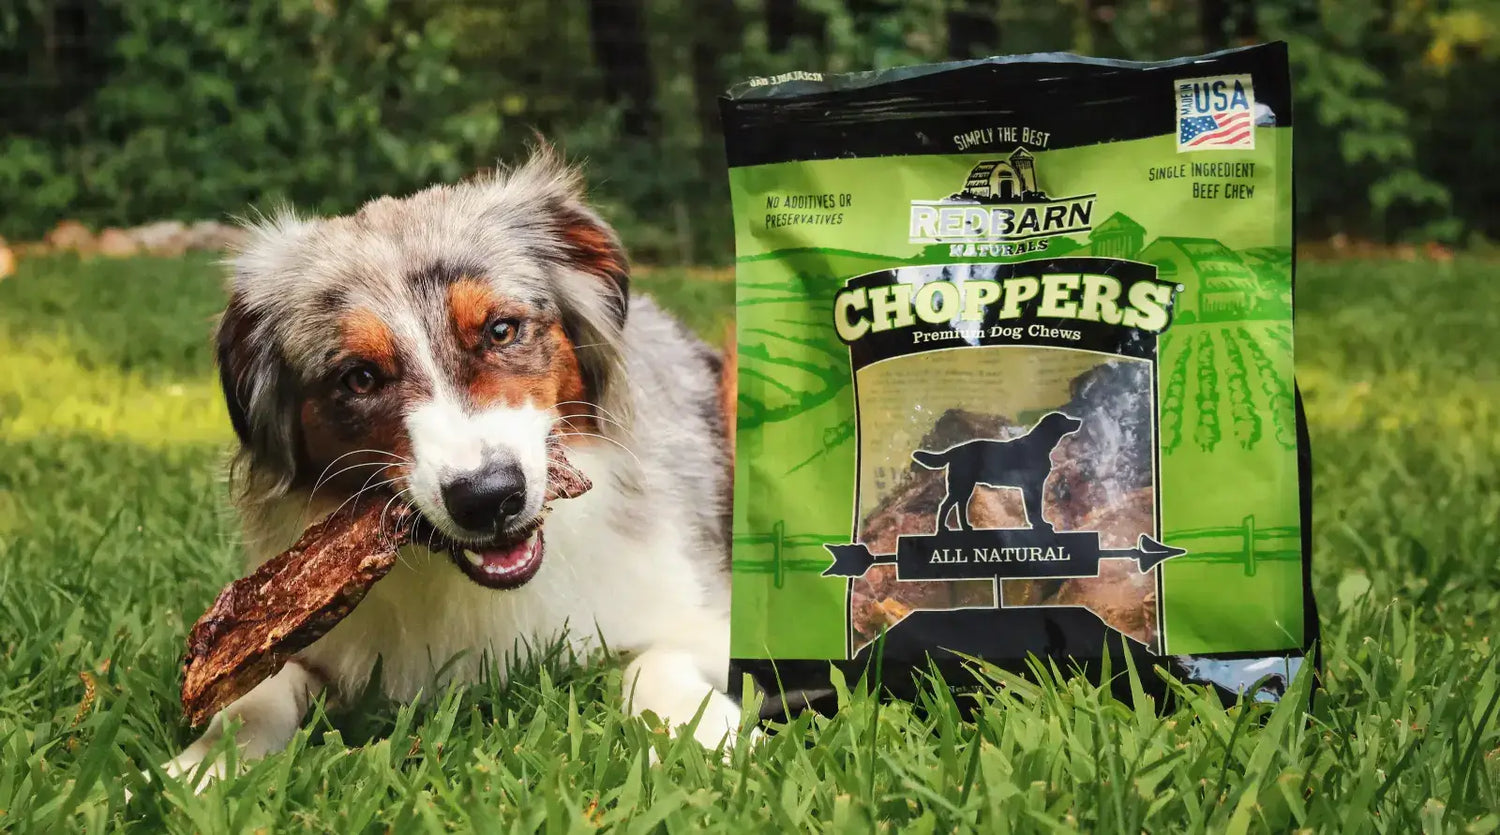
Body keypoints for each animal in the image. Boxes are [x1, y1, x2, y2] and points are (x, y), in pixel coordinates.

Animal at [161, 146, 741, 785]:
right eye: (359, 378)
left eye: (502, 329)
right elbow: (255, 695)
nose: (488, 499)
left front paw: (699, 738)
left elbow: (659, 658)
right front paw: (197, 770)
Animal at [912, 407, 1080, 530]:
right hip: (961, 486)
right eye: (1064, 419)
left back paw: (965, 526)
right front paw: (1040, 524)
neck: (1039, 443)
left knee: (959, 506)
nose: (1079, 421)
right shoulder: (1031, 487)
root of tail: (955, 450)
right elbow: (1034, 509)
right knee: (946, 505)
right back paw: (942, 528)